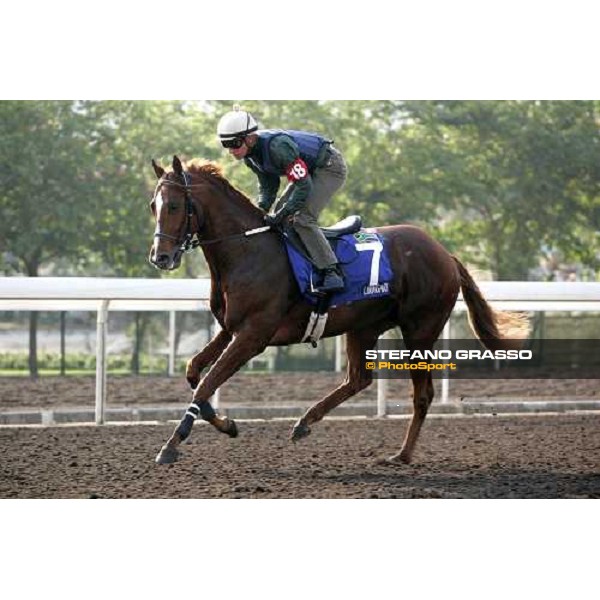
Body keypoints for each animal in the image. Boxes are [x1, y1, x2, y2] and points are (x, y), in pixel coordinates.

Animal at [148, 155, 528, 464]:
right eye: (153, 205)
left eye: (174, 206)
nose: (160, 257)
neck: (248, 250)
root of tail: (444, 252)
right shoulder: (231, 328)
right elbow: (194, 372)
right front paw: (227, 424)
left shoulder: (253, 335)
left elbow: (205, 383)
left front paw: (170, 446)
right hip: (363, 327)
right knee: (359, 378)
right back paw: (304, 423)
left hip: (420, 330)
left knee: (422, 395)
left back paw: (402, 455)